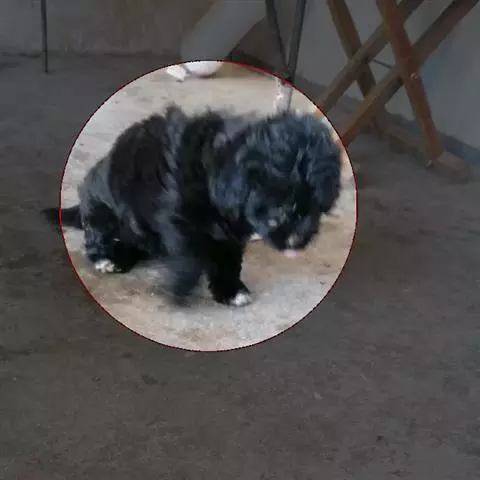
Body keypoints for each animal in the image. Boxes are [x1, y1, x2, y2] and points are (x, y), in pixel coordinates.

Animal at [43, 104, 341, 307]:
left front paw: (231, 289)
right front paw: (181, 288)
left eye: (316, 207)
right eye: (280, 206)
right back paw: (107, 258)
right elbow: (190, 257)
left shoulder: (229, 236)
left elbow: (227, 260)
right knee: (98, 233)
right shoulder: (177, 219)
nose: (298, 240)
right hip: (102, 208)